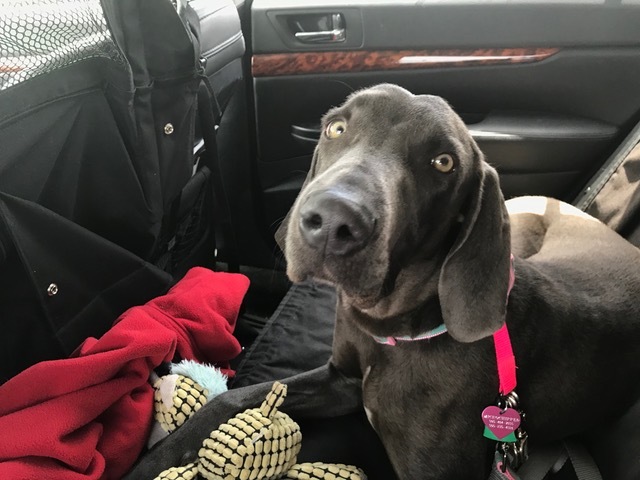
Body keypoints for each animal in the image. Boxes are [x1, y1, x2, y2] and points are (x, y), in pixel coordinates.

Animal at [125, 84, 640, 478]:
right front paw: (156, 458)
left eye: (443, 162)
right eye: (336, 127)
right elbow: (235, 399)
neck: (393, 332)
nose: (332, 222)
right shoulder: (342, 380)